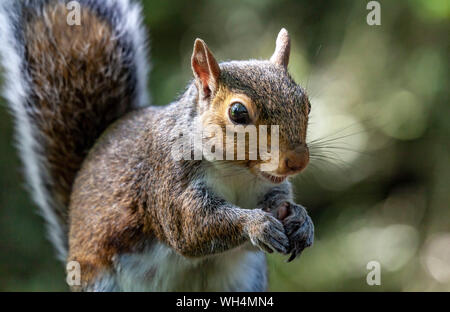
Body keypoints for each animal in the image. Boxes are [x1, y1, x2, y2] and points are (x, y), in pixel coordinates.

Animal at [0, 0, 314, 292]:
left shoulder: (264, 190)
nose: (298, 161)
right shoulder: (167, 183)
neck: (237, 173)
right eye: (238, 113)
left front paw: (300, 218)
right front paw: (256, 224)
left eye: (306, 103)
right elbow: (191, 229)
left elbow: (268, 218)